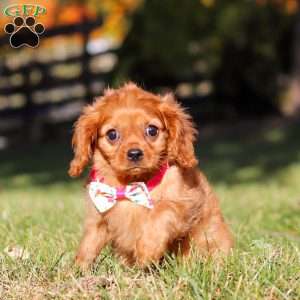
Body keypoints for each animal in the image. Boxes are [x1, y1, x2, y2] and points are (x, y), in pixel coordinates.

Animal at [69, 82, 233, 270]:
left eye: (152, 130)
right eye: (112, 134)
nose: (134, 153)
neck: (131, 185)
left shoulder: (184, 203)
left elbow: (161, 212)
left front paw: (146, 251)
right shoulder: (98, 217)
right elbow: (88, 245)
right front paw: (76, 270)